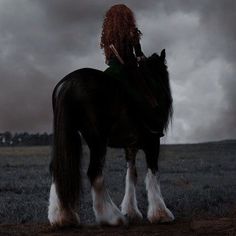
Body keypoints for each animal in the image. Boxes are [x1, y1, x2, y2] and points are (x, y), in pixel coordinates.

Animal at [48, 48, 174, 226]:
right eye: (163, 73)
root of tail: (68, 83)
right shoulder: (153, 142)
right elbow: (152, 174)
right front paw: (160, 214)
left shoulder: (130, 147)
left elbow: (131, 175)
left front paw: (131, 211)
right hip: (97, 141)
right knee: (95, 173)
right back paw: (112, 217)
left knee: (58, 170)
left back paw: (62, 217)